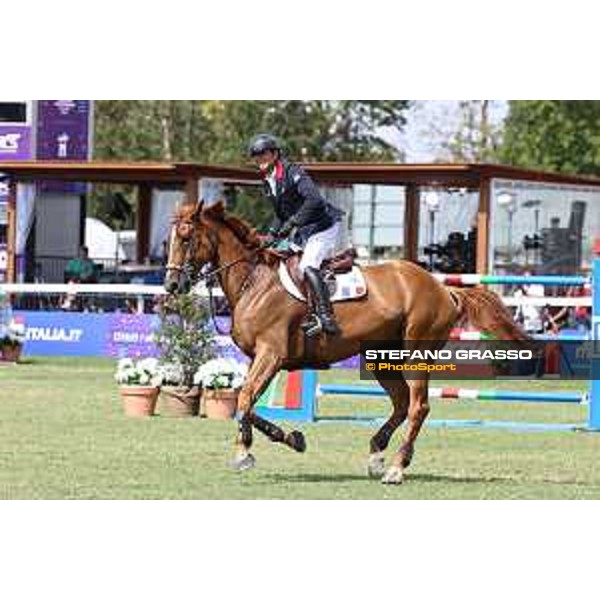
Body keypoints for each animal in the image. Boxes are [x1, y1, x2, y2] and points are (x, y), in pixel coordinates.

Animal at [166, 200, 528, 482]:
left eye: (185, 237)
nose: (172, 285)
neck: (254, 281)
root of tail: (442, 288)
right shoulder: (258, 357)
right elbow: (246, 403)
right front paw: (292, 438)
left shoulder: (272, 354)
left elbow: (244, 399)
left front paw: (244, 453)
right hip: (381, 357)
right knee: (401, 403)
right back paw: (377, 455)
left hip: (416, 352)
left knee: (418, 406)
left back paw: (396, 468)